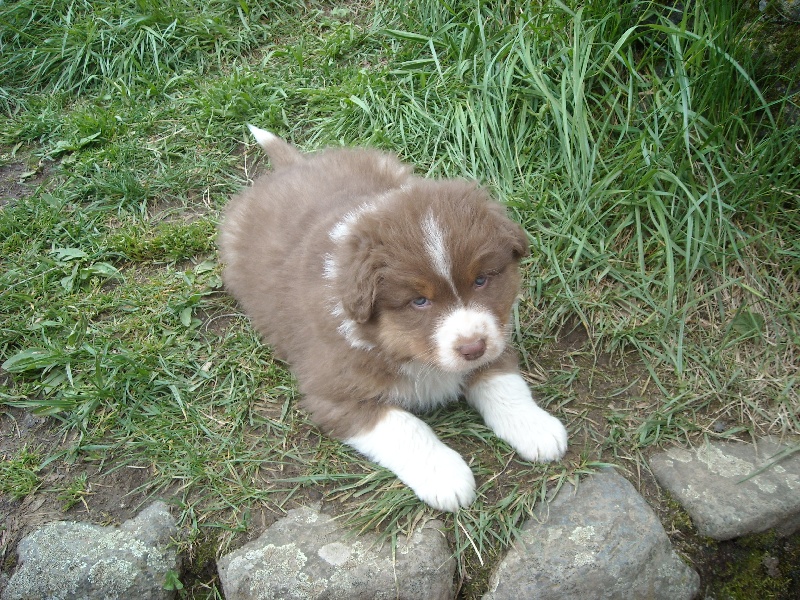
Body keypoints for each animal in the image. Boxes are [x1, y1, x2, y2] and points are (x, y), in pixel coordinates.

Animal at [218, 126, 568, 511]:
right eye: (419, 301)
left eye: (481, 280)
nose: (472, 348)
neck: (406, 351)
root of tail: (294, 166)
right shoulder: (335, 394)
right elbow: (405, 427)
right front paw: (445, 476)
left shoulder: (498, 333)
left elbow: (504, 383)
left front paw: (535, 428)